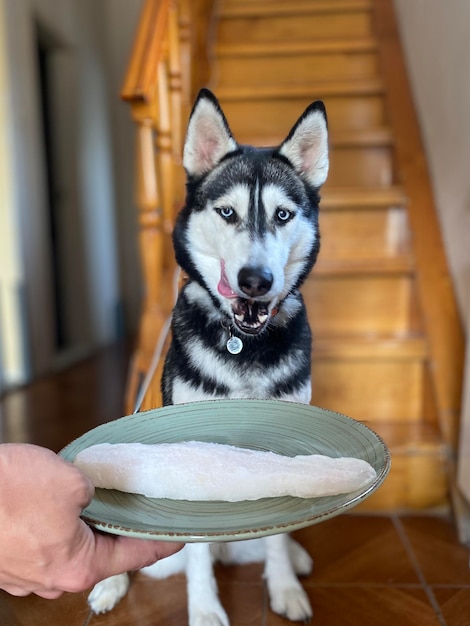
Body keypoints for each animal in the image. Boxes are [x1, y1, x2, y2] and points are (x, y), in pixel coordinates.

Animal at [90, 89, 328, 624]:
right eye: (227, 213)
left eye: (283, 215)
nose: (255, 281)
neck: (244, 344)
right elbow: (194, 547)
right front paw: (204, 609)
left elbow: (279, 530)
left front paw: (284, 585)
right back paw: (110, 583)